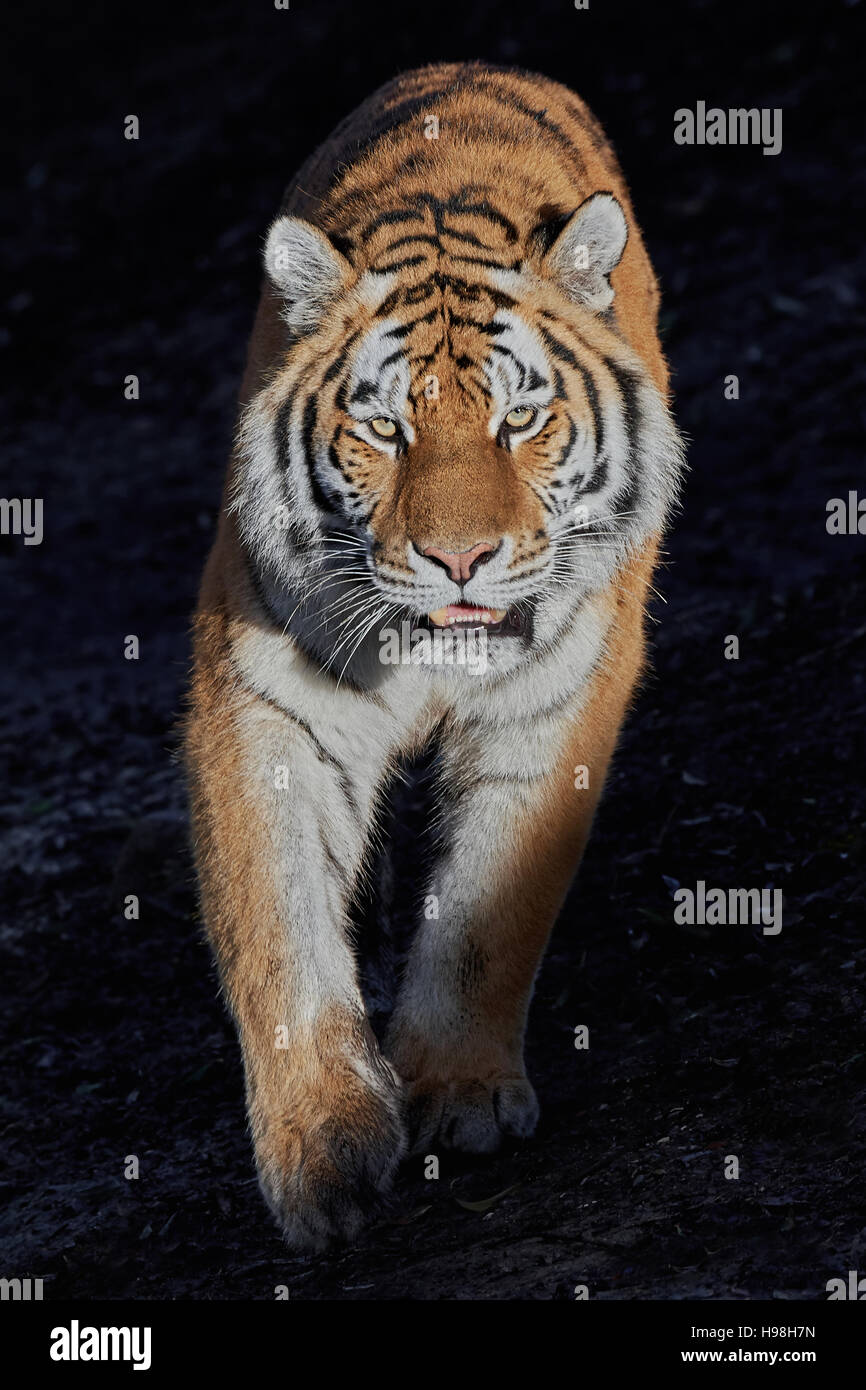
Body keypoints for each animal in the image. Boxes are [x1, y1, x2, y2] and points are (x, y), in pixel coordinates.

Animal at [185, 61, 685, 1251]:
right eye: (385, 432)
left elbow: (490, 906)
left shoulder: (555, 696)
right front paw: (321, 1149)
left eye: (519, 421)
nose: (460, 559)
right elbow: (276, 924)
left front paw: (457, 1094)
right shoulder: (266, 697)